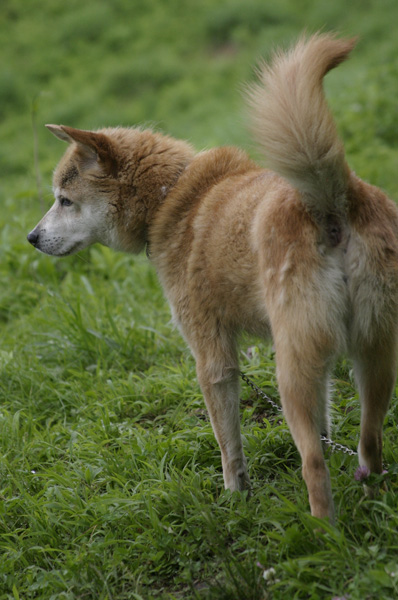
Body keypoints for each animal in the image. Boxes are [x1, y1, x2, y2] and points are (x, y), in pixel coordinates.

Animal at [27, 34, 398, 520]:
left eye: (64, 200)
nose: (31, 237)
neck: (173, 198)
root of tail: (331, 202)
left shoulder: (212, 357)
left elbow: (228, 444)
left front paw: (235, 496)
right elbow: (325, 425)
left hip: (292, 371)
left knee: (314, 466)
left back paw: (323, 529)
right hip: (374, 356)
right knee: (370, 443)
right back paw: (373, 503)